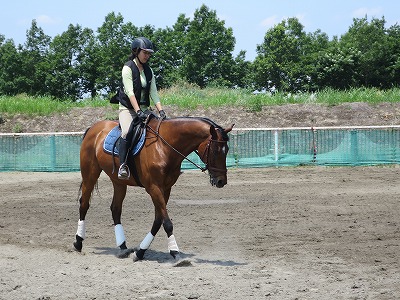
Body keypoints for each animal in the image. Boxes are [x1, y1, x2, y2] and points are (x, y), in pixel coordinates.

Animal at [73, 116, 233, 262]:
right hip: (90, 174)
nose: (221, 181)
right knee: (84, 204)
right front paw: (175, 253)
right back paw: (78, 242)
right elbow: (167, 223)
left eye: (227, 150)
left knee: (115, 209)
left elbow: (158, 220)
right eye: (215, 151)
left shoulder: (166, 189)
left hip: (118, 182)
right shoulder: (154, 188)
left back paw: (123, 248)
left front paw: (140, 252)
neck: (164, 146)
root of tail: (94, 128)